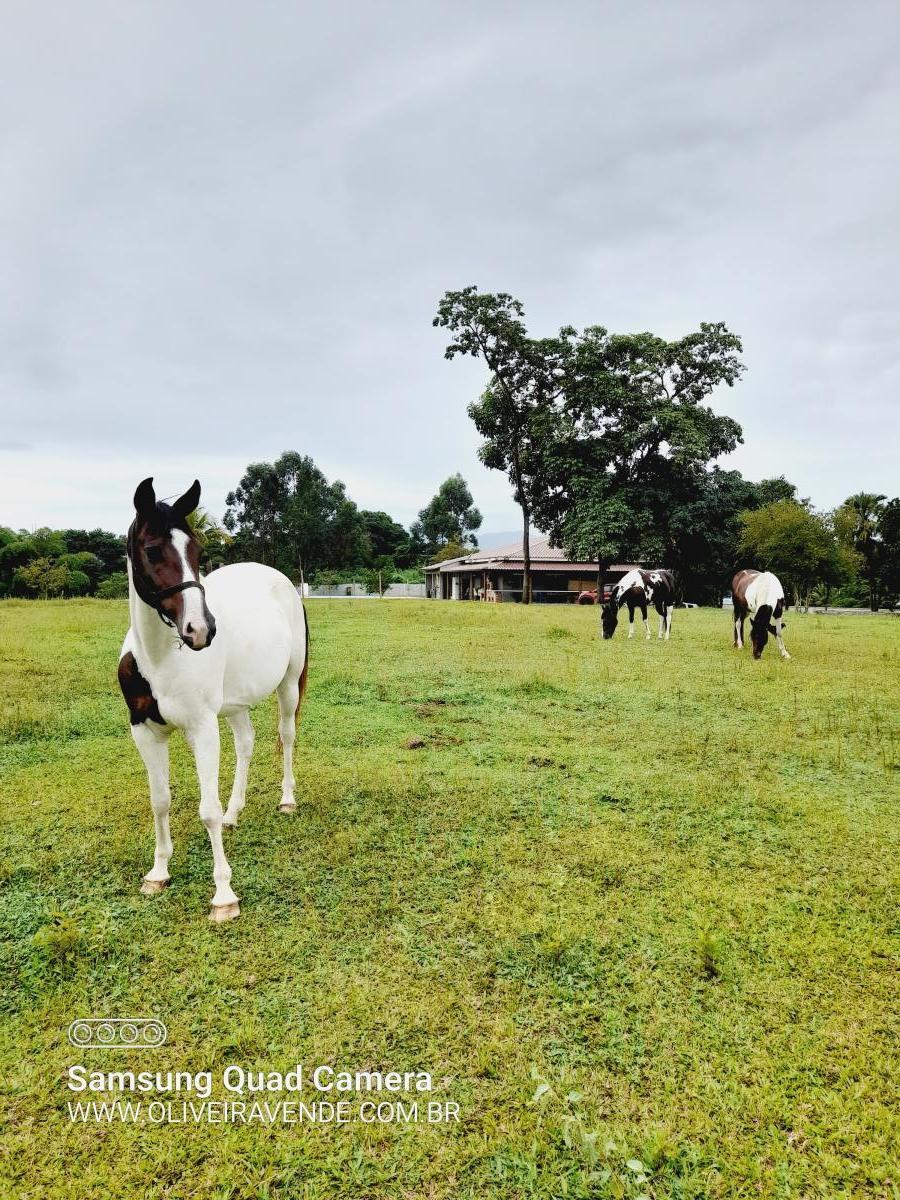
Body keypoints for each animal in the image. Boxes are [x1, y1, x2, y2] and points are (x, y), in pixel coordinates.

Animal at [120, 475, 309, 916]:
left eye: (197, 550)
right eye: (152, 550)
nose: (201, 629)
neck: (159, 658)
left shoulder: (202, 728)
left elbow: (207, 809)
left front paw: (224, 894)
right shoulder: (145, 731)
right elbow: (160, 800)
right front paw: (158, 872)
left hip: (288, 685)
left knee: (287, 736)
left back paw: (287, 799)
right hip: (234, 704)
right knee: (246, 743)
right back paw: (235, 813)